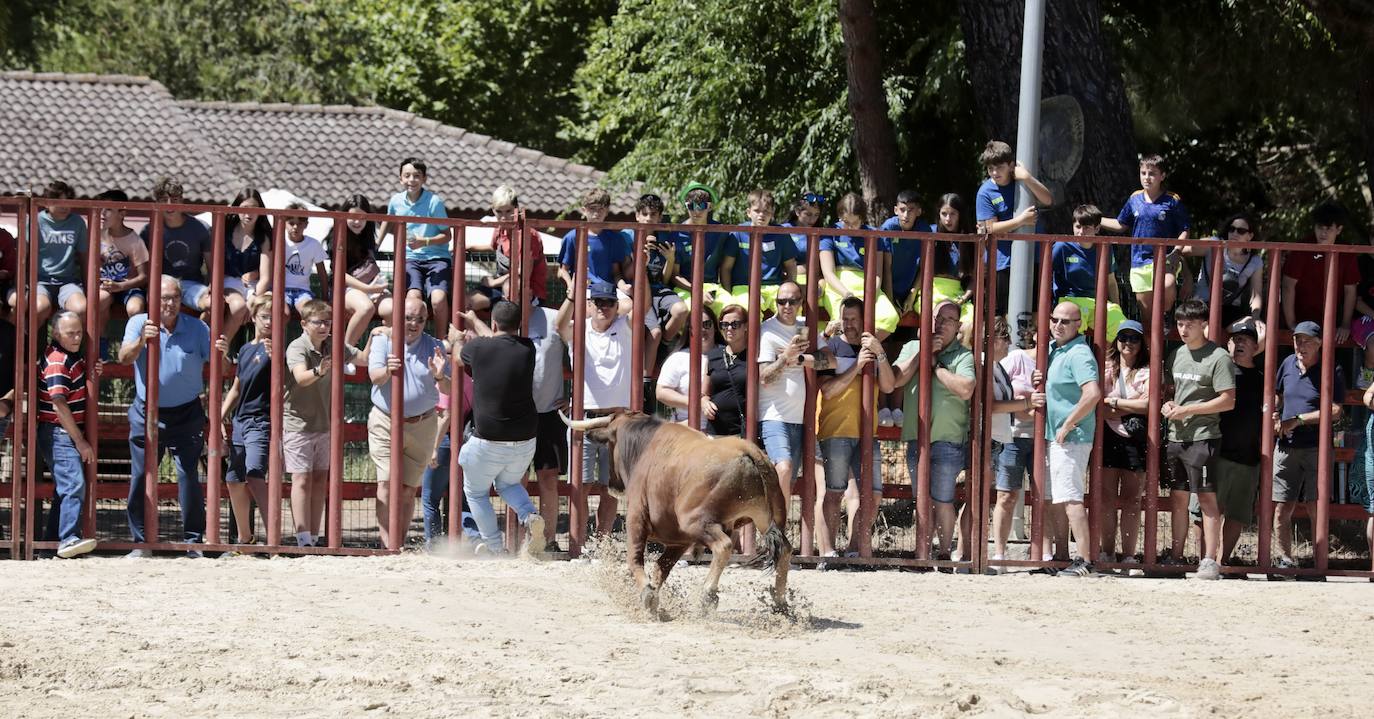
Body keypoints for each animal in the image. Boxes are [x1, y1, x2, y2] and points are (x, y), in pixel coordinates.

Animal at [560, 412, 796, 615]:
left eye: (610, 445)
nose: (612, 484)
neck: (645, 445)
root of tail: (748, 451)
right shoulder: (679, 540)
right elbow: (660, 568)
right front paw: (654, 594)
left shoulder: (636, 518)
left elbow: (635, 560)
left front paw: (647, 594)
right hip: (765, 517)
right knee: (784, 549)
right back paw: (780, 603)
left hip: (695, 522)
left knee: (724, 546)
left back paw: (708, 594)